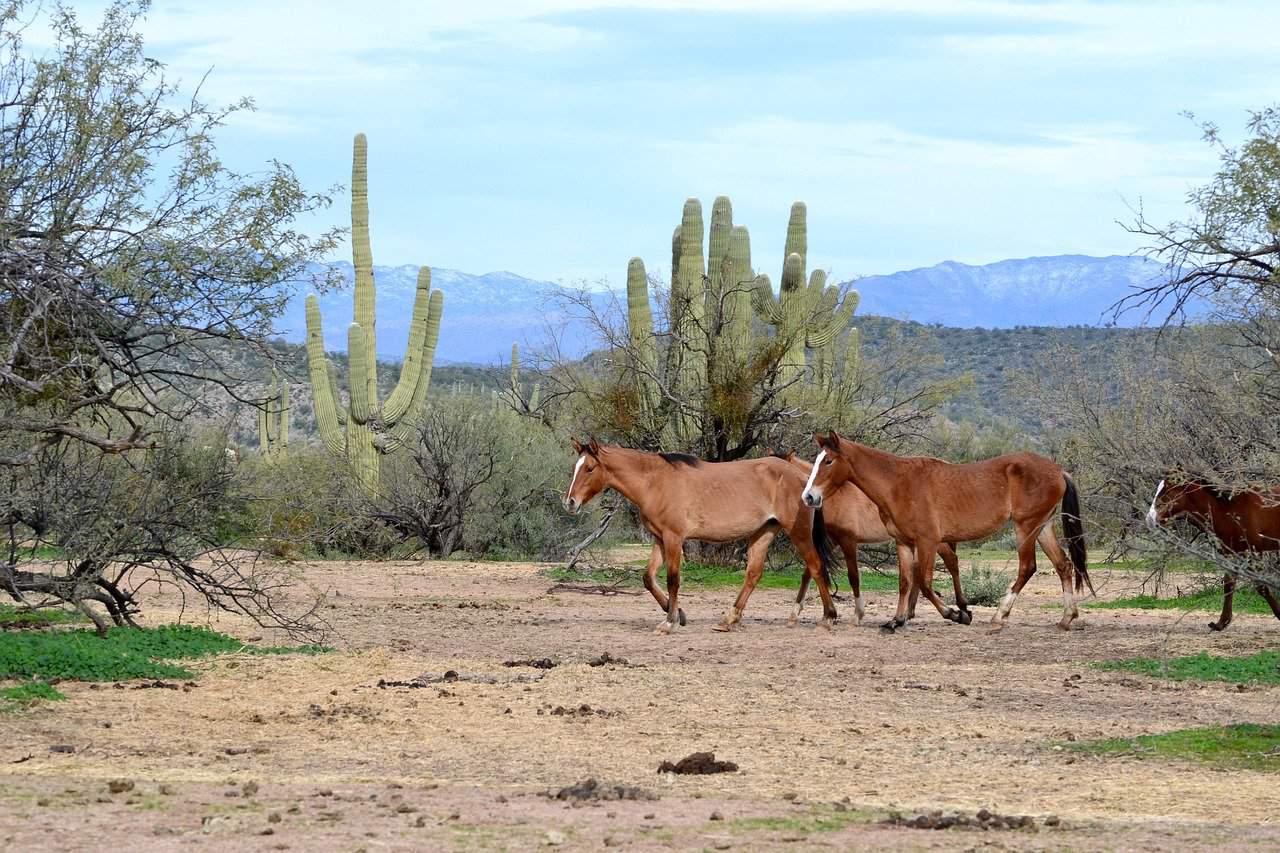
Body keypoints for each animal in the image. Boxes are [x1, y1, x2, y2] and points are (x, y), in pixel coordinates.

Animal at [560, 438, 839, 630]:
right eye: (575, 467)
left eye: (589, 468)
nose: (570, 503)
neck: (655, 482)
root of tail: (804, 480)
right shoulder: (659, 539)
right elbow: (648, 578)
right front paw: (678, 614)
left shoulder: (674, 538)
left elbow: (673, 579)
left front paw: (669, 622)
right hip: (764, 532)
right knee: (754, 574)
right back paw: (729, 619)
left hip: (798, 533)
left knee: (815, 567)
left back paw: (828, 617)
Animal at [768, 450, 967, 625]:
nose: (807, 498)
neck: (835, 494)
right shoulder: (833, 541)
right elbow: (808, 573)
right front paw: (797, 612)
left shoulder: (848, 540)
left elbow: (853, 576)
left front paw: (857, 615)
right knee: (919, 571)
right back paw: (909, 612)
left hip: (934, 540)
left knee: (951, 561)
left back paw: (960, 607)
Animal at [798, 427, 1090, 627]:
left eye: (828, 461)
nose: (809, 497)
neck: (898, 483)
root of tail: (1058, 471)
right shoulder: (904, 542)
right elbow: (905, 582)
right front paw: (897, 620)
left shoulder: (927, 541)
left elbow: (925, 584)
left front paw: (957, 614)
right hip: (1043, 526)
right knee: (1063, 565)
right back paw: (1066, 618)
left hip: (1025, 528)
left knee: (1027, 567)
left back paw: (1000, 614)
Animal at [1146, 479, 1280, 630]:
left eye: (1167, 492)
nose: (1149, 520)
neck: (1229, 509)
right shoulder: (1232, 555)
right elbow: (1228, 585)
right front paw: (1221, 622)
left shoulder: (1254, 554)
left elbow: (1261, 586)